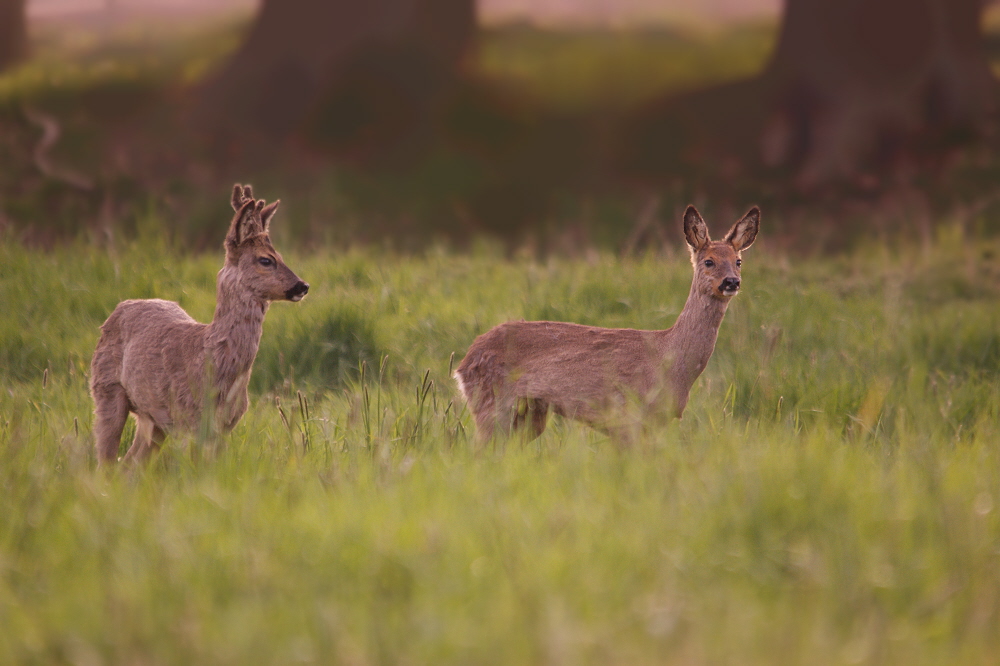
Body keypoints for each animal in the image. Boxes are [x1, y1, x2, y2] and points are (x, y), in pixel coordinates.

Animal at [90, 182, 308, 462]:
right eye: (266, 259)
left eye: (281, 255)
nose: (302, 286)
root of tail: (122, 306)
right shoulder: (187, 420)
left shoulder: (224, 426)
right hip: (105, 388)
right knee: (107, 460)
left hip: (153, 419)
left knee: (130, 462)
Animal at [454, 204, 756, 440]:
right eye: (709, 261)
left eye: (738, 261)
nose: (731, 282)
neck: (670, 359)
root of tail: (464, 362)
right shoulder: (628, 417)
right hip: (492, 402)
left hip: (529, 413)